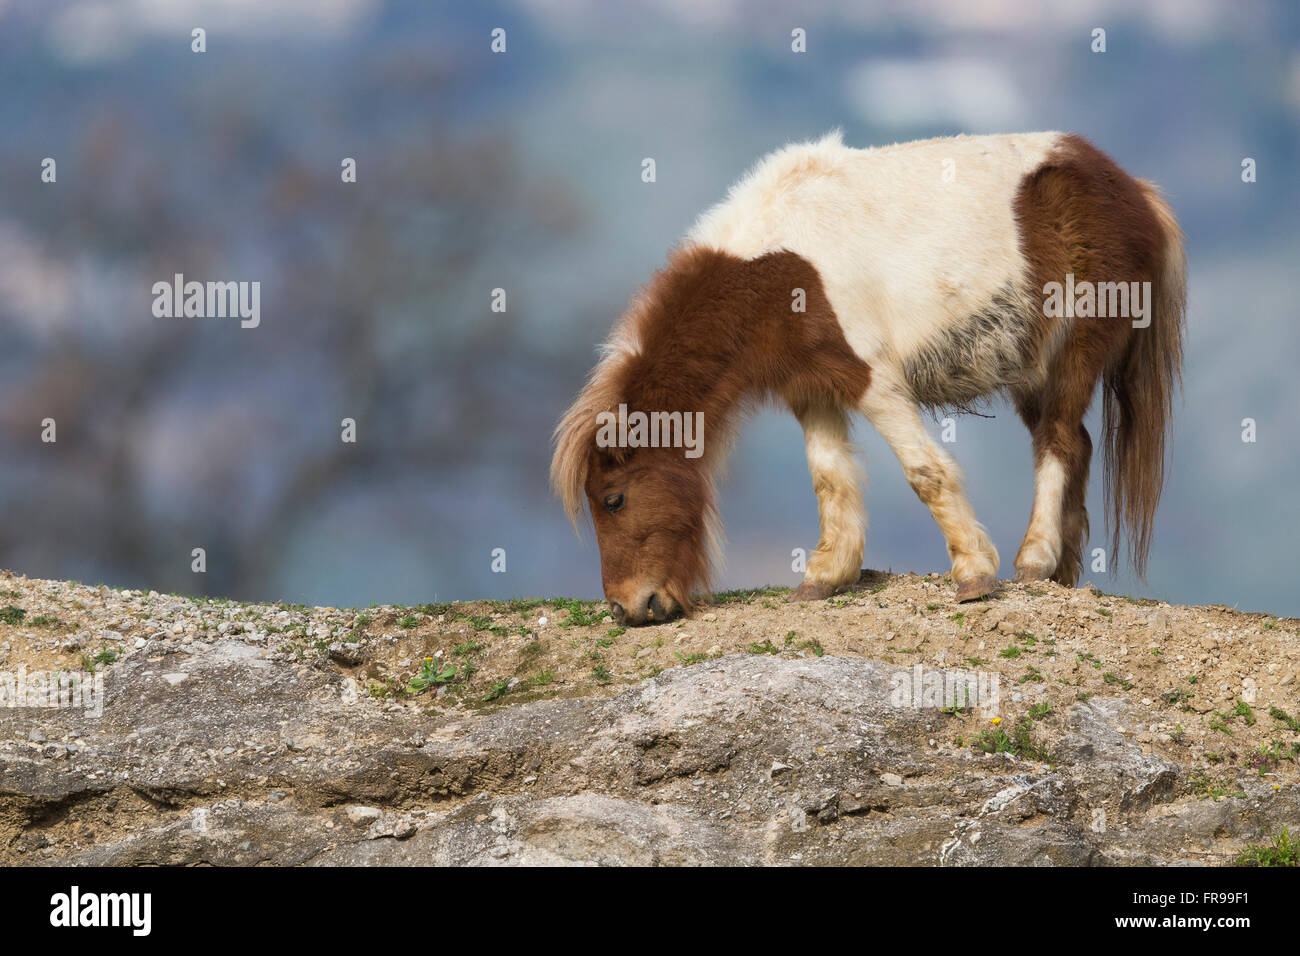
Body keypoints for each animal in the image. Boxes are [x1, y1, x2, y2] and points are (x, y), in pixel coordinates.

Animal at [553, 134, 1185, 629]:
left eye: (613, 499)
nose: (631, 608)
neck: (778, 269)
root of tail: (1137, 192)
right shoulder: (811, 388)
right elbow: (830, 479)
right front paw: (827, 575)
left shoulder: (873, 379)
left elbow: (925, 473)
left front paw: (975, 574)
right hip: (1033, 369)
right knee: (1075, 443)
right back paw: (1060, 572)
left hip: (1073, 352)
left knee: (1058, 443)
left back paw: (1031, 560)